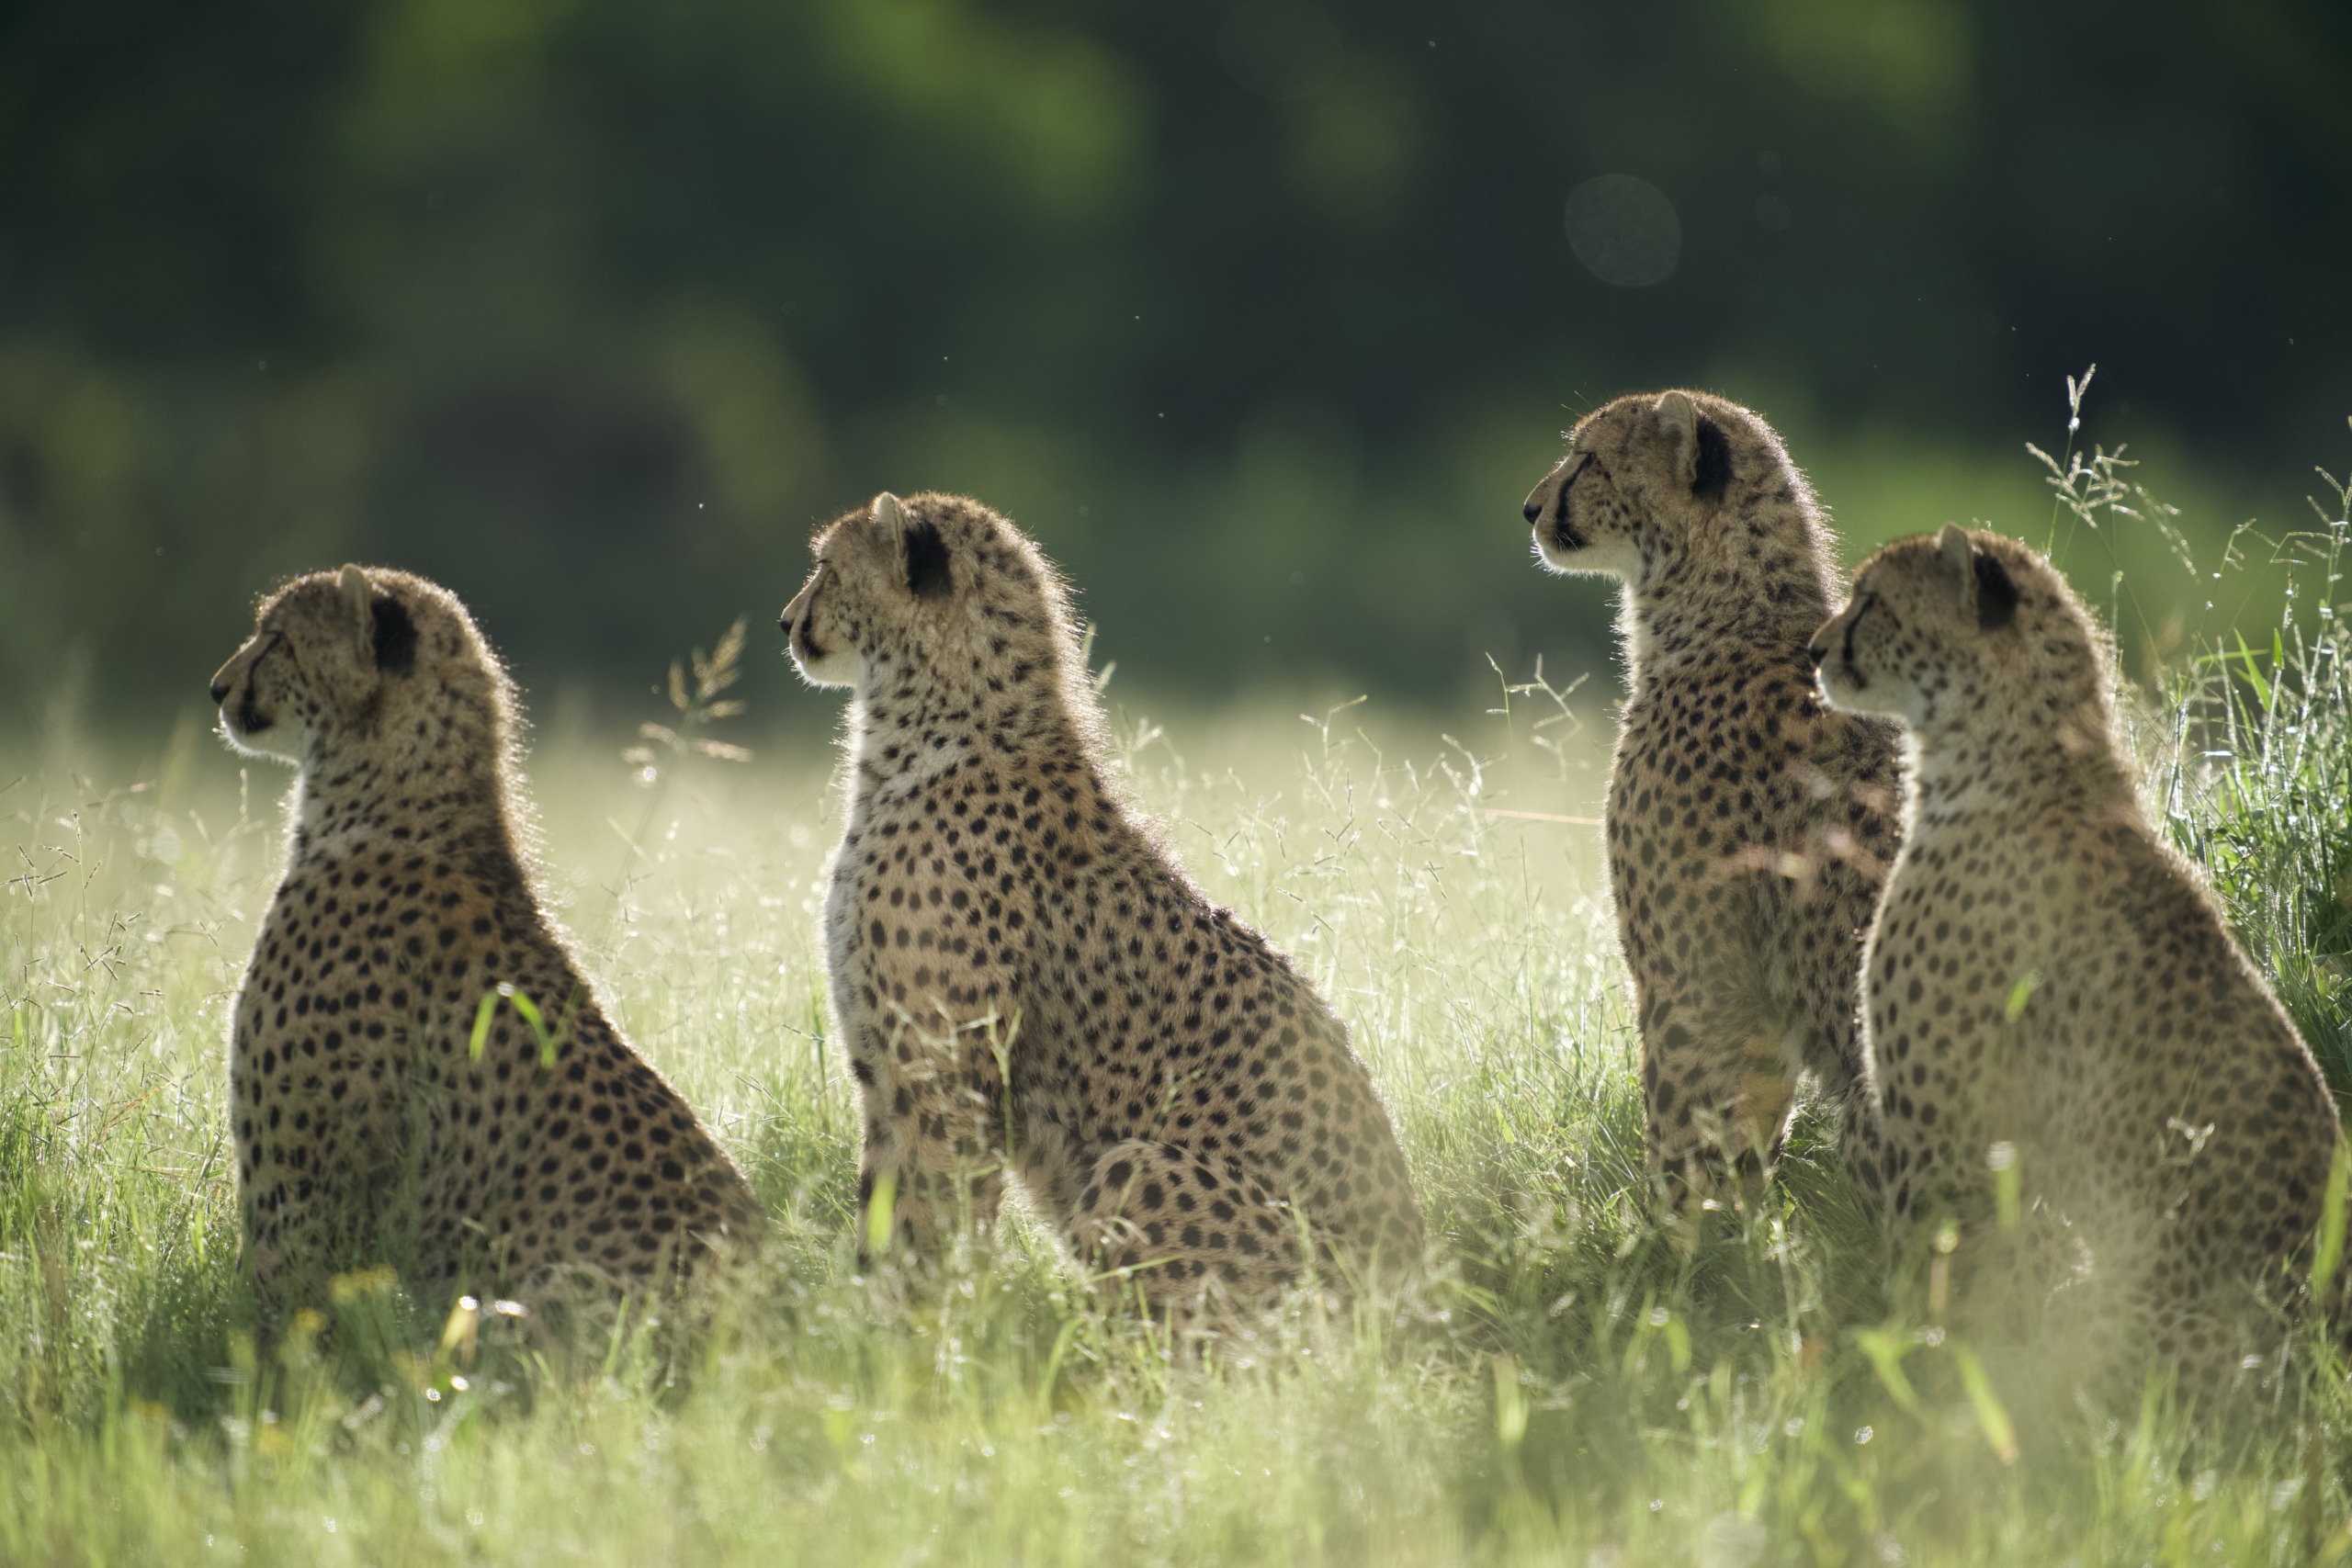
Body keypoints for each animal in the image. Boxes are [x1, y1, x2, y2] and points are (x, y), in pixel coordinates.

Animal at [780, 495, 1420, 1306]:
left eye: (826, 568)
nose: (786, 620)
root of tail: (1418, 1271)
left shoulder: (945, 1076)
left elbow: (934, 1228)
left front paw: (935, 1328)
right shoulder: (889, 1074)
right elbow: (885, 1219)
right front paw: (865, 1328)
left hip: (1139, 1167)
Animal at [1523, 389, 1909, 1189]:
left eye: (1588, 459)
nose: (1530, 507)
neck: (1734, 611)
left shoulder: (1697, 991)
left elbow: (1684, 1151)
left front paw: (1664, 1228)